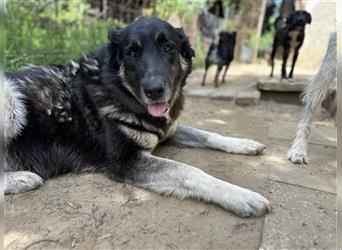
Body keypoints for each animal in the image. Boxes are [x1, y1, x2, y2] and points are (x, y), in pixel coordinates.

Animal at [3, 17, 270, 217]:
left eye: (168, 47)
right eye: (131, 52)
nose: (154, 90)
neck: (119, 90)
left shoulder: (169, 130)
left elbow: (208, 134)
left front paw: (243, 144)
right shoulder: (127, 161)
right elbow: (190, 171)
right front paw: (240, 195)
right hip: (11, 101)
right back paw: (22, 178)